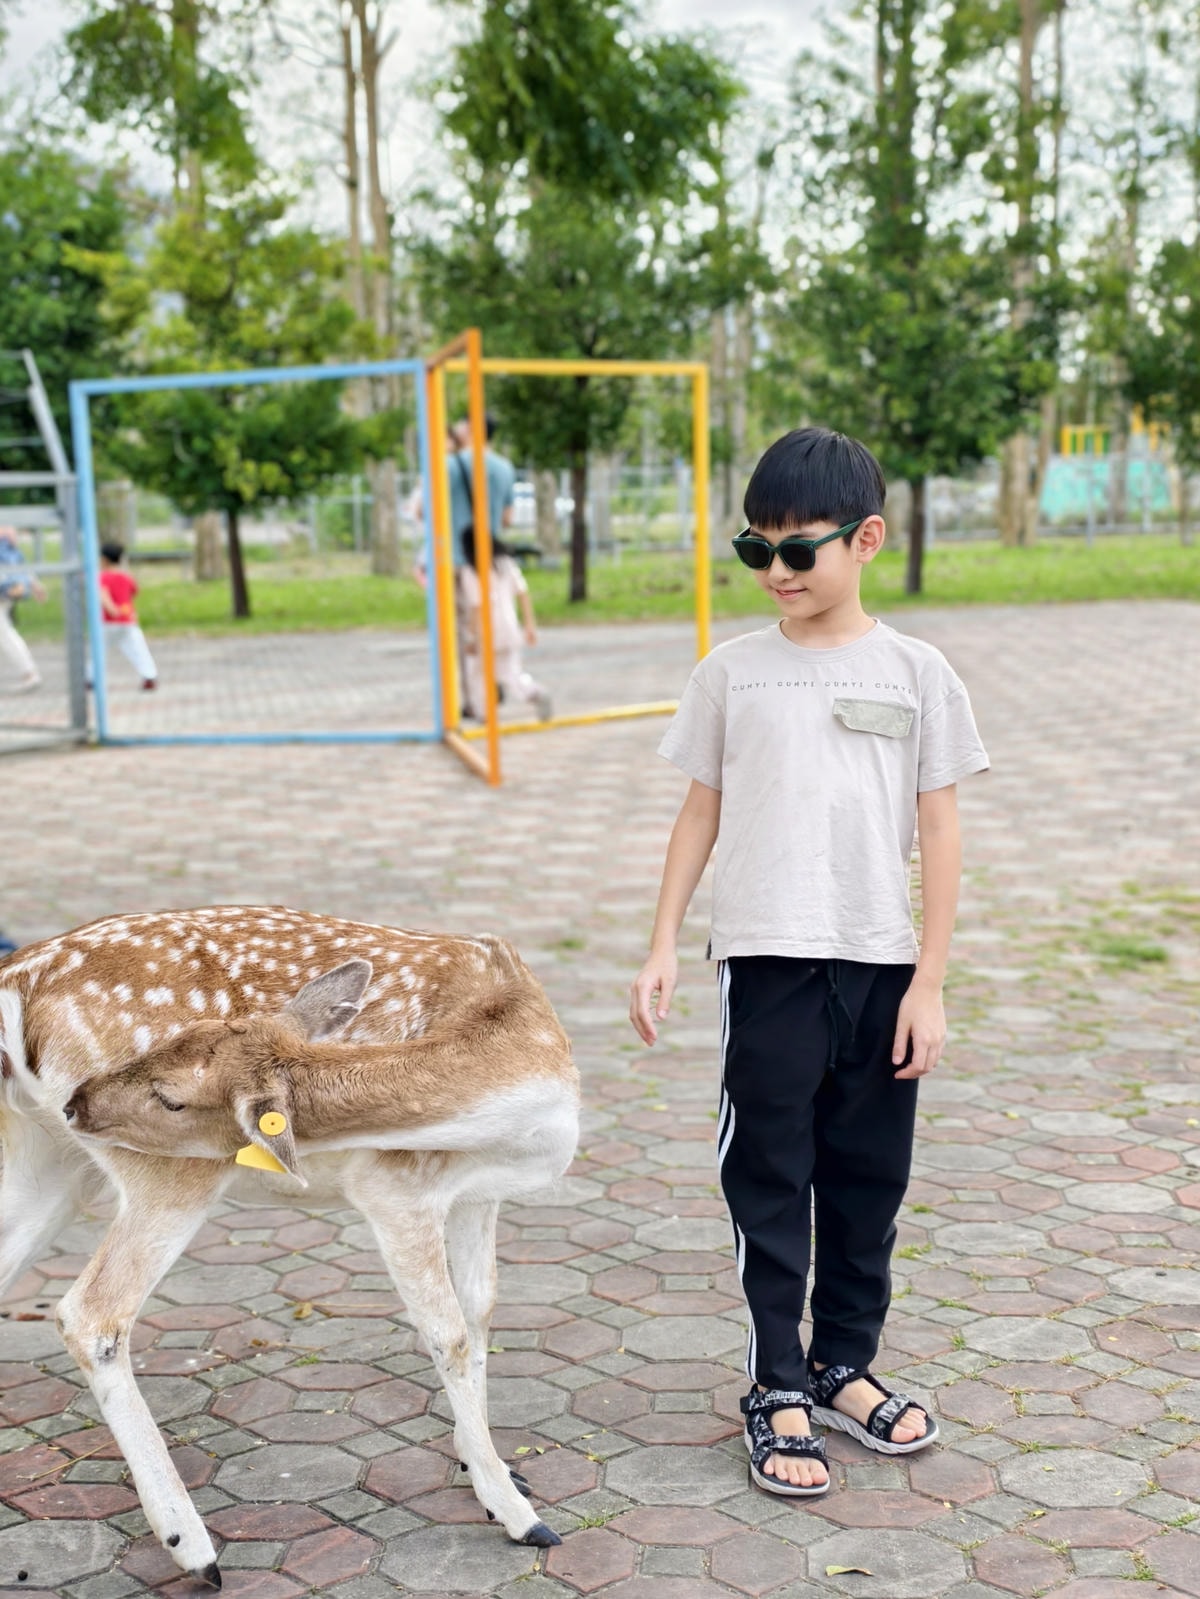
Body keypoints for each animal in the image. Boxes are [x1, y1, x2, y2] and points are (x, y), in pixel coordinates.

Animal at [0, 905, 580, 1587]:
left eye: (170, 1091)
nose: (78, 1102)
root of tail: (16, 977)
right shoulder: (394, 1187)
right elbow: (449, 1334)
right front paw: (517, 1513)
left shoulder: (476, 1195)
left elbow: (481, 1307)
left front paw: (482, 1464)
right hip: (166, 1174)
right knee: (91, 1312)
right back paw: (193, 1547)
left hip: (49, 1161)